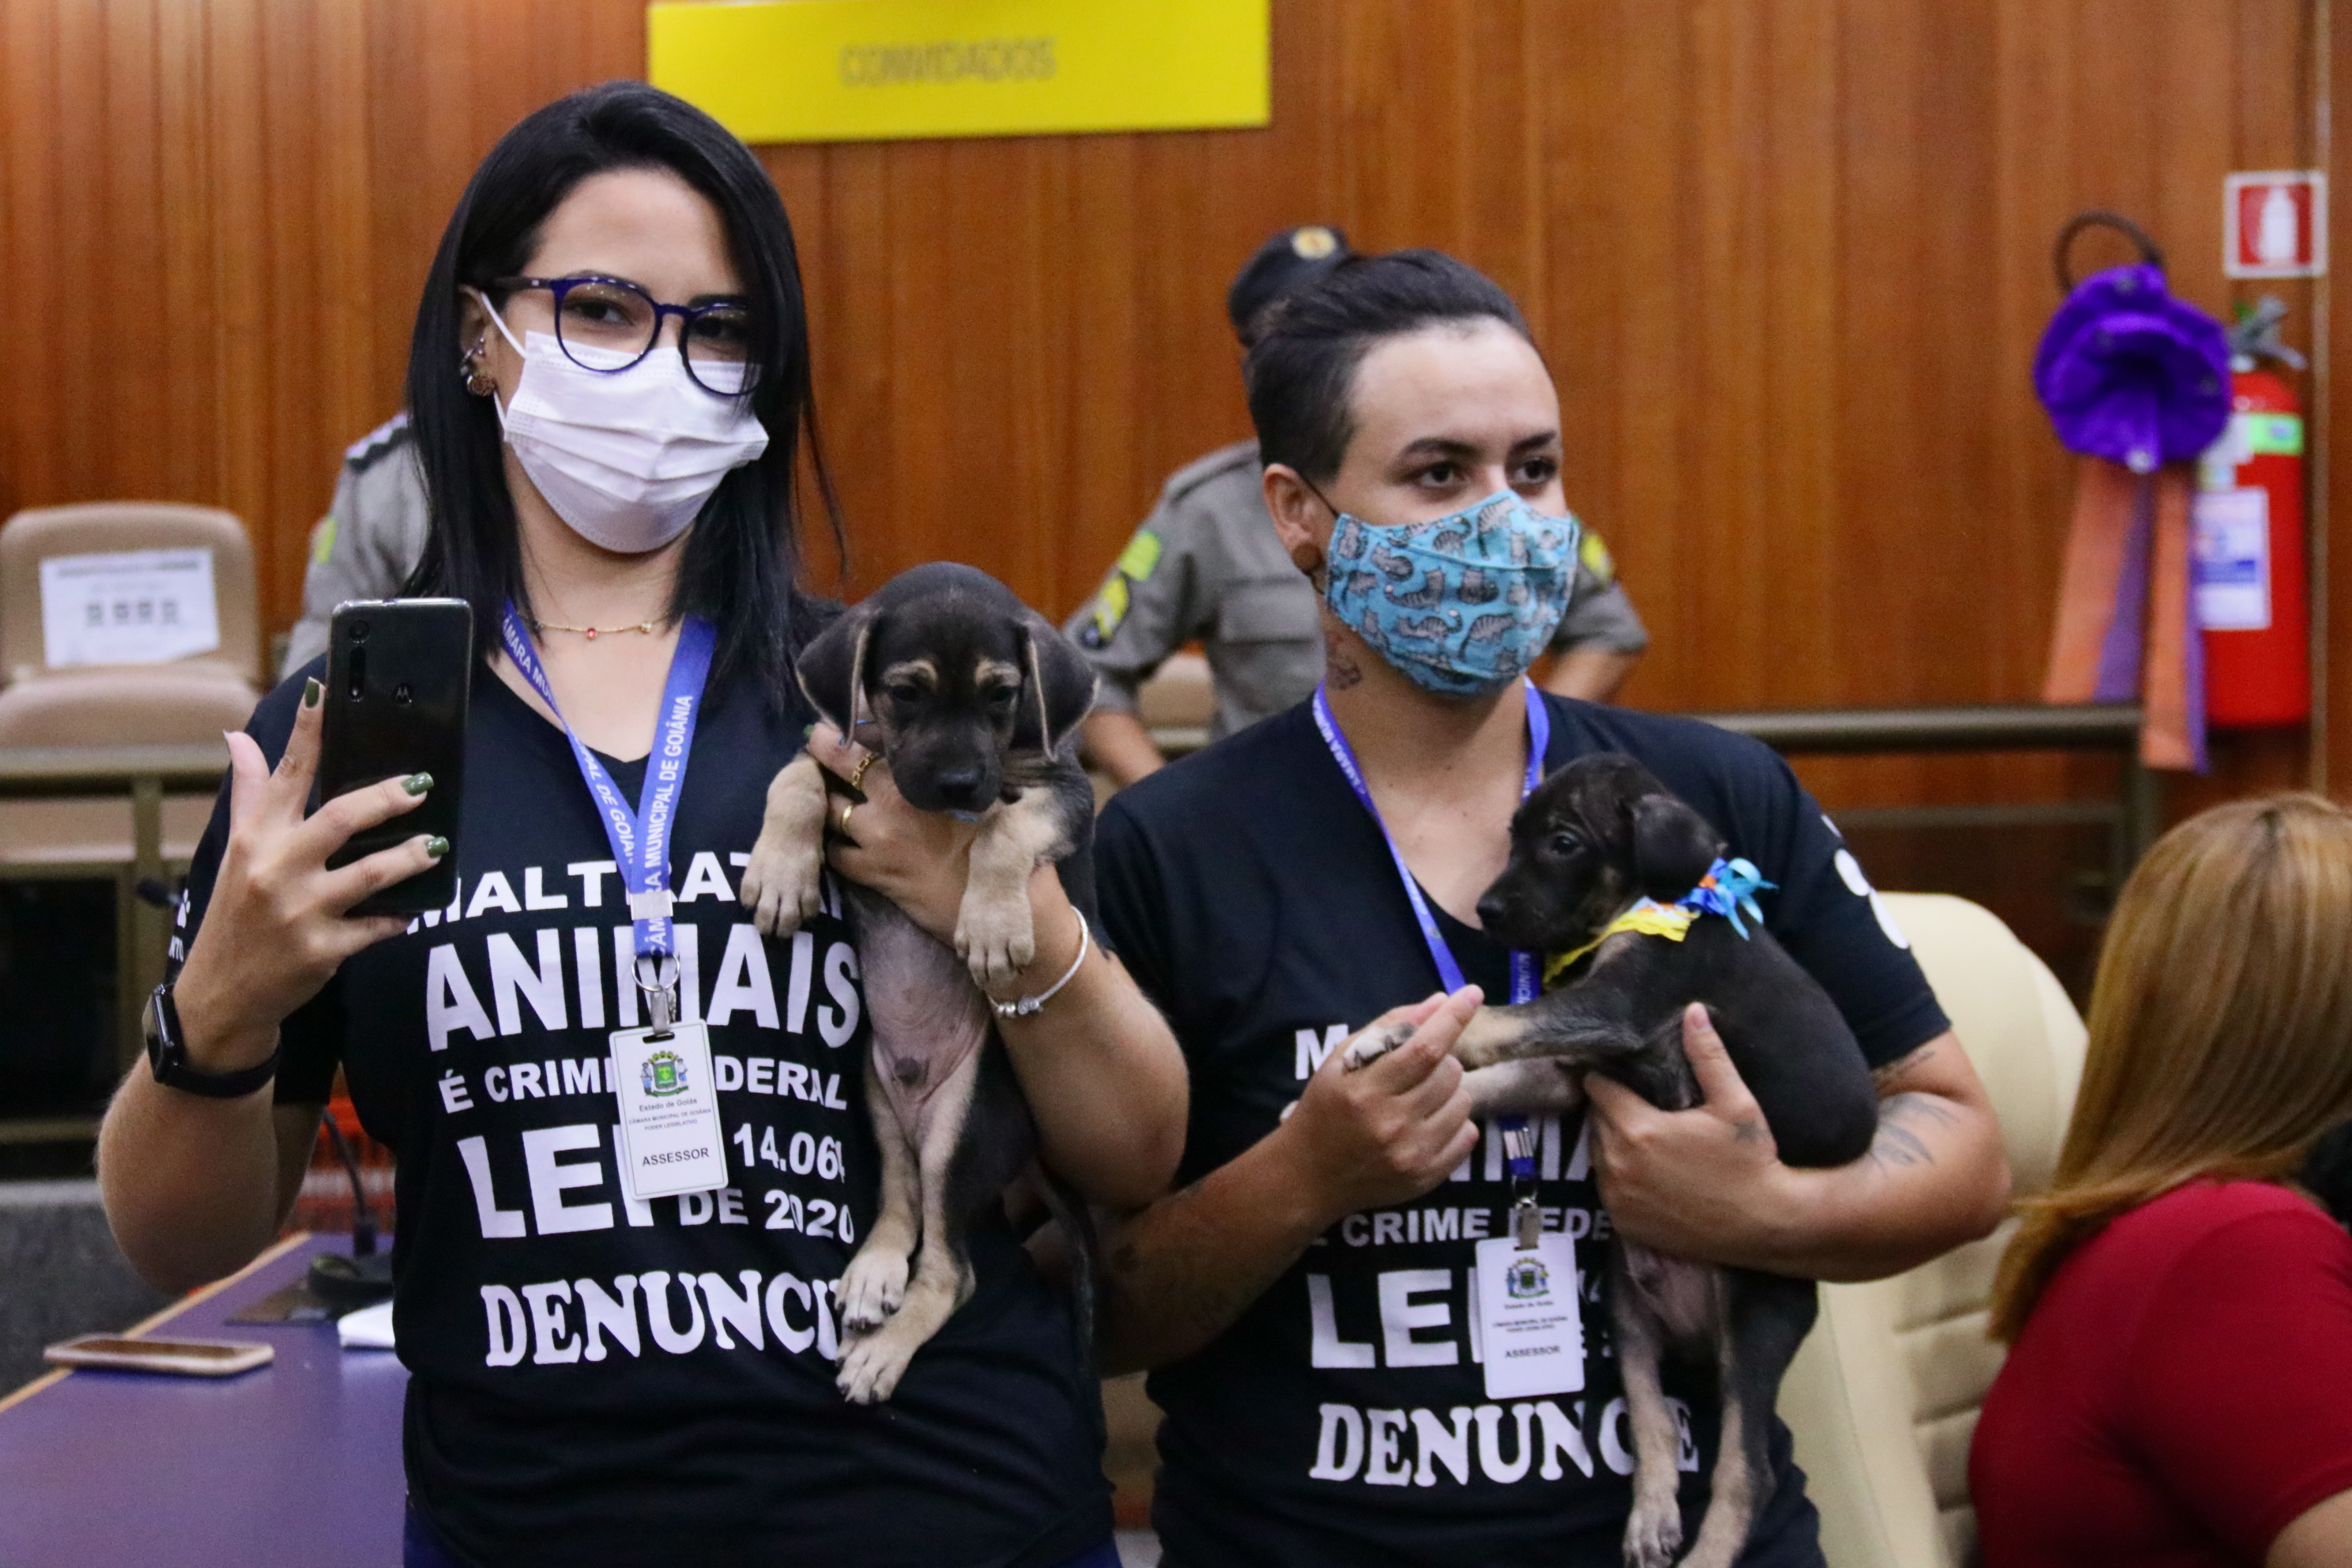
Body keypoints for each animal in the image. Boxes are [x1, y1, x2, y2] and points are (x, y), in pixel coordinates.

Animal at [739, 562, 1101, 1404]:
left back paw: (884, 1352)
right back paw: (873, 1271)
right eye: (905, 692)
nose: (960, 784)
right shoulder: (835, 756)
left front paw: (994, 924)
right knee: (902, 1206)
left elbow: (1005, 829)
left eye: (1003, 695)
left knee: (950, 1273)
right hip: (879, 1098)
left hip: (962, 1128)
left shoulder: (1067, 793)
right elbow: (795, 777)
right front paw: (780, 869)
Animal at [1345, 753, 1880, 1568]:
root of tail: (1697, 1334)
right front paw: (1384, 1058)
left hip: (1754, 1320)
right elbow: (1490, 1071)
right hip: (1627, 1311)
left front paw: (1403, 1032)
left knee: (1745, 1471)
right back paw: (1651, 1519)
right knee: (1654, 1420)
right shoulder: (1570, 1066)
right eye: (1514, 835)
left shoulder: (1617, 1006)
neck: (1642, 904)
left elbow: (1490, 1020)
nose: (1487, 909)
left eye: (1564, 842)